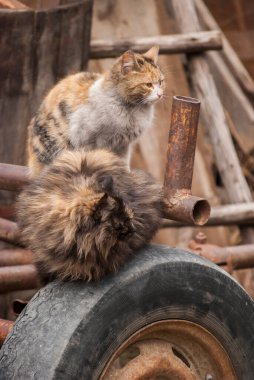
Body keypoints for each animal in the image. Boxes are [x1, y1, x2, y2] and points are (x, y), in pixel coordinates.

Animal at [27, 45, 165, 175]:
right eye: (148, 85)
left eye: (161, 82)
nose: (160, 94)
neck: (132, 110)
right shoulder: (90, 140)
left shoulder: (123, 145)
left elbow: (122, 162)